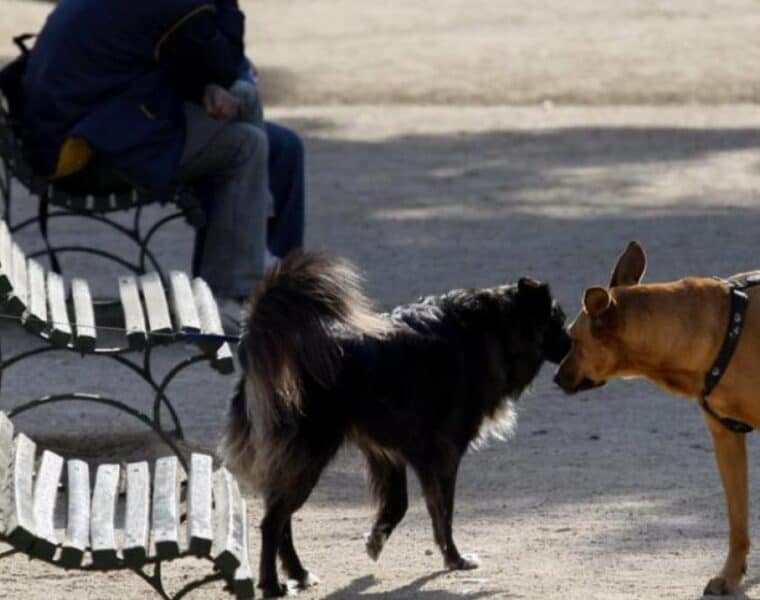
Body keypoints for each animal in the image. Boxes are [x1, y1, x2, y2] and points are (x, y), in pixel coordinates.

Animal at [220, 251, 568, 596]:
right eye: (560, 322)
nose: (571, 346)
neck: (494, 330)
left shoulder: (390, 452)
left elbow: (399, 504)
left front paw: (376, 540)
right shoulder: (443, 453)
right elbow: (443, 511)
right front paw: (454, 559)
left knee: (282, 517)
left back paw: (299, 573)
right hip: (310, 455)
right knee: (273, 521)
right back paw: (272, 583)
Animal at [552, 241, 760, 596]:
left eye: (574, 340)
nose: (556, 378)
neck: (721, 329)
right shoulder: (726, 438)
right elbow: (737, 521)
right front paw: (731, 576)